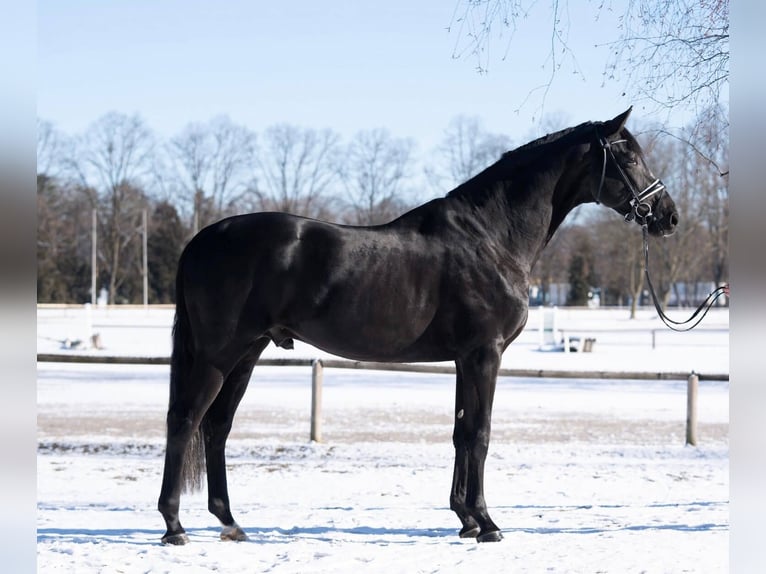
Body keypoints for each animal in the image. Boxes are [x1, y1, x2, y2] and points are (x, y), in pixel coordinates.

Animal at [156, 108, 680, 544]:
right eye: (628, 155)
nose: (669, 217)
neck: (491, 237)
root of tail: (201, 240)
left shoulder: (464, 359)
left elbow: (461, 432)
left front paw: (465, 520)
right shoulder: (485, 354)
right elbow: (481, 433)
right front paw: (488, 524)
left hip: (248, 352)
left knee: (217, 426)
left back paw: (230, 523)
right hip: (219, 355)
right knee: (185, 421)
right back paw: (174, 527)